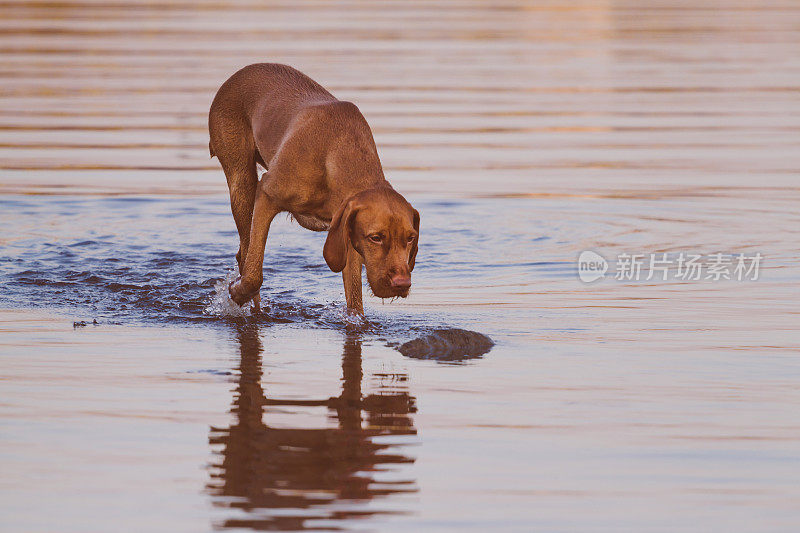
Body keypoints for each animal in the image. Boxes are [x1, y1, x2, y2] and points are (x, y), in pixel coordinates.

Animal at [208, 65, 418, 316]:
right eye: (375, 238)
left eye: (410, 238)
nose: (402, 284)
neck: (337, 156)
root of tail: (239, 73)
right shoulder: (266, 195)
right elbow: (253, 275)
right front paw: (237, 293)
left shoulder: (346, 234)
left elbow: (355, 303)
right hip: (242, 182)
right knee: (245, 255)